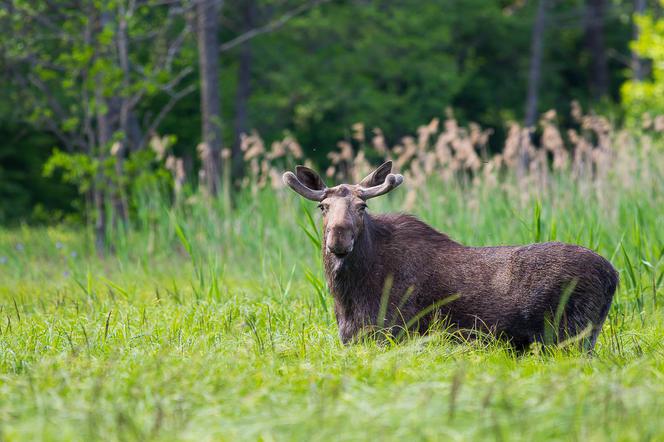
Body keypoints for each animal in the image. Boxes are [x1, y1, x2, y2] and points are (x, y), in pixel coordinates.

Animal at [282, 161, 620, 350]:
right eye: (322, 206)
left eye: (362, 206)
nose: (338, 236)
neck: (347, 296)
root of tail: (614, 275)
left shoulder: (393, 332)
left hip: (573, 335)